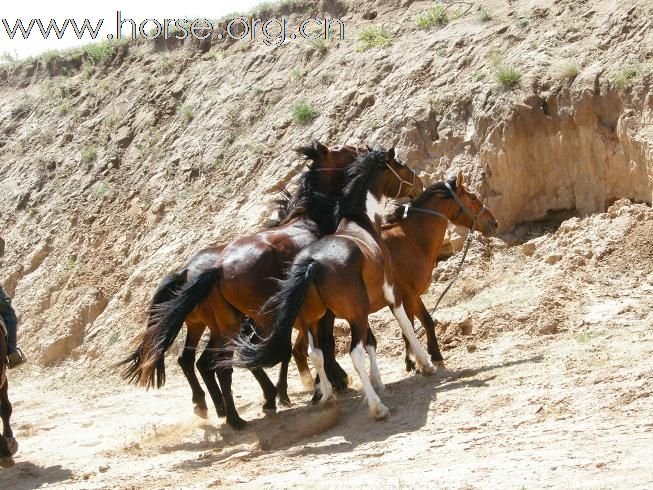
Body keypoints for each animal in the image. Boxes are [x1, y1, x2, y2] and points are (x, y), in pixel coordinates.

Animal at [121, 143, 418, 428]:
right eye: (343, 150)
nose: (364, 149)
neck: (310, 220)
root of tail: (214, 268)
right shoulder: (320, 311)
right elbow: (323, 344)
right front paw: (330, 383)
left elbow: (308, 347)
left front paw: (325, 384)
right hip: (248, 322)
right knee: (225, 363)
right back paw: (242, 414)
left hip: (216, 324)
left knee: (200, 361)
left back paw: (217, 407)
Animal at [229, 170, 494, 420]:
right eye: (472, 197)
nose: (494, 222)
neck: (409, 239)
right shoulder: (403, 296)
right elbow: (409, 327)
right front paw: (420, 361)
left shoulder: (410, 296)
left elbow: (423, 322)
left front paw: (427, 358)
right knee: (296, 352)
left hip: (310, 320)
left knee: (302, 352)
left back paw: (313, 392)